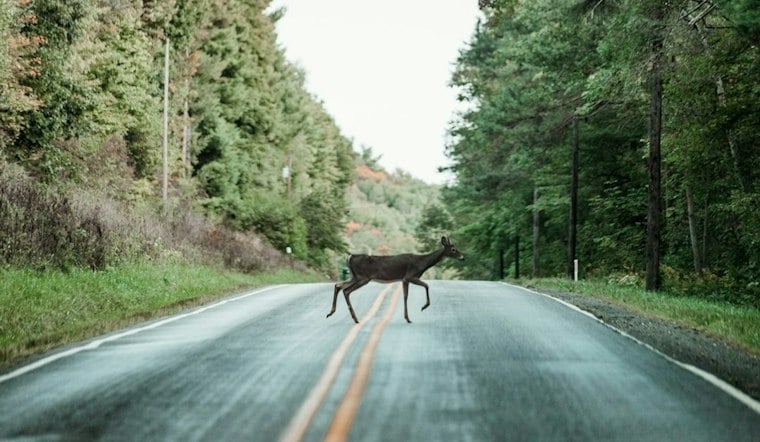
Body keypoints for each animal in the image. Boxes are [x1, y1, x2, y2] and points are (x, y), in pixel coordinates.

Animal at [327, 236, 464, 323]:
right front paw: (423, 307)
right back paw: (355, 319)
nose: (462, 257)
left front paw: (407, 317)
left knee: (338, 285)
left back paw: (331, 313)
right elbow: (426, 286)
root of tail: (350, 256)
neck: (422, 263)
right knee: (346, 290)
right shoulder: (410, 276)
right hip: (362, 277)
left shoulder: (404, 279)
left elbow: (405, 296)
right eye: (453, 249)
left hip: (354, 276)